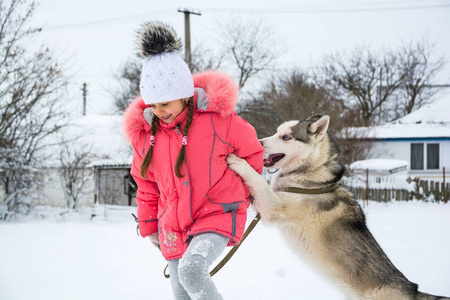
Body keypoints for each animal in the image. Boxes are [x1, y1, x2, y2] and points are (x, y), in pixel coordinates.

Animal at [227, 115, 448, 300]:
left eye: (286, 137)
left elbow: (258, 180)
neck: (310, 172)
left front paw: (238, 162)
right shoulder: (265, 209)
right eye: (276, 132)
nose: (259, 142)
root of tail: (413, 290)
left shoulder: (275, 208)